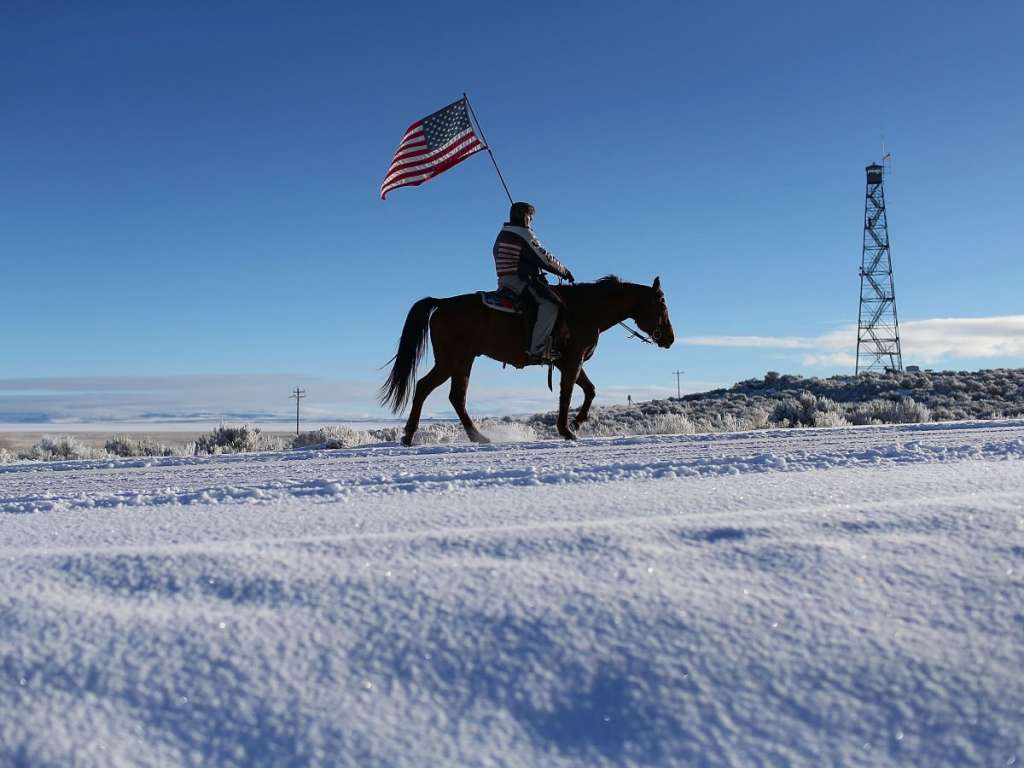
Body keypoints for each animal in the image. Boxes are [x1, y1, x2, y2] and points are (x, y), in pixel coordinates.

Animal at [380, 276, 675, 444]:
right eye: (662, 304)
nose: (670, 338)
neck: (587, 309)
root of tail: (443, 303)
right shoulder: (572, 360)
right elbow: (567, 393)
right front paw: (566, 430)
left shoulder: (569, 362)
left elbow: (590, 390)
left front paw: (576, 423)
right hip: (453, 360)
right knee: (428, 388)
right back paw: (413, 435)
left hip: (460, 362)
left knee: (451, 396)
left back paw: (471, 436)